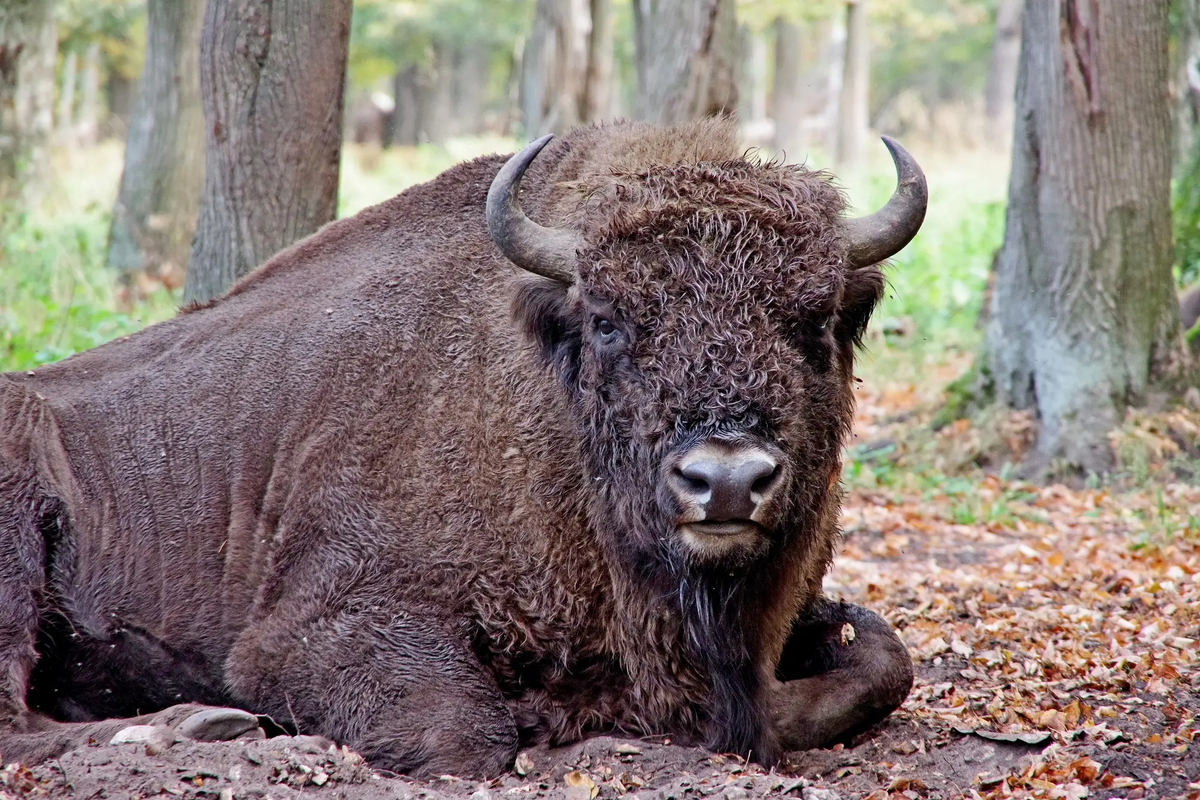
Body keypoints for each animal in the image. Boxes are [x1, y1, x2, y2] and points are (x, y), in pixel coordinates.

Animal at [0, 118, 926, 777]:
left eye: (816, 322)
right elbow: (465, 735)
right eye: (608, 321)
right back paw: (200, 724)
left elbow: (883, 662)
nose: (725, 481)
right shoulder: (319, 626)